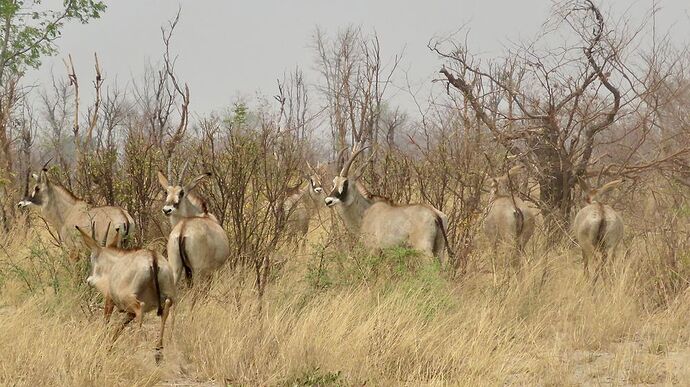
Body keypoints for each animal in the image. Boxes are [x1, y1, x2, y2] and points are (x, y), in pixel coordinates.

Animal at [324, 142, 452, 264]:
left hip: (423, 250)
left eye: (345, 183)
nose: (328, 201)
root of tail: (434, 215)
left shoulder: (373, 250)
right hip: (439, 250)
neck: (365, 211)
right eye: (334, 182)